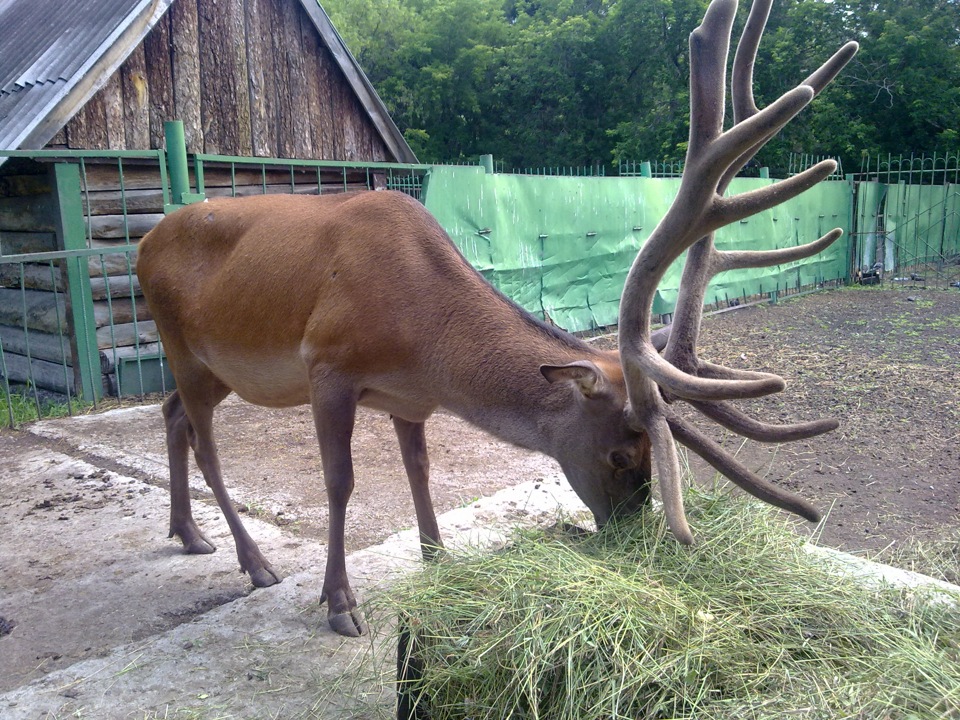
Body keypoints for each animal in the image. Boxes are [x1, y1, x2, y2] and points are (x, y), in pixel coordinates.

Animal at [133, 0, 856, 640]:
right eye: (622, 452)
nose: (633, 538)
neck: (422, 341)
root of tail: (141, 244)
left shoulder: (409, 399)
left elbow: (420, 471)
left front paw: (437, 559)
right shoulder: (328, 367)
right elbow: (340, 484)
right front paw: (340, 603)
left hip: (212, 365)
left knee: (171, 414)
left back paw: (188, 533)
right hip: (180, 340)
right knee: (205, 443)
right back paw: (254, 562)